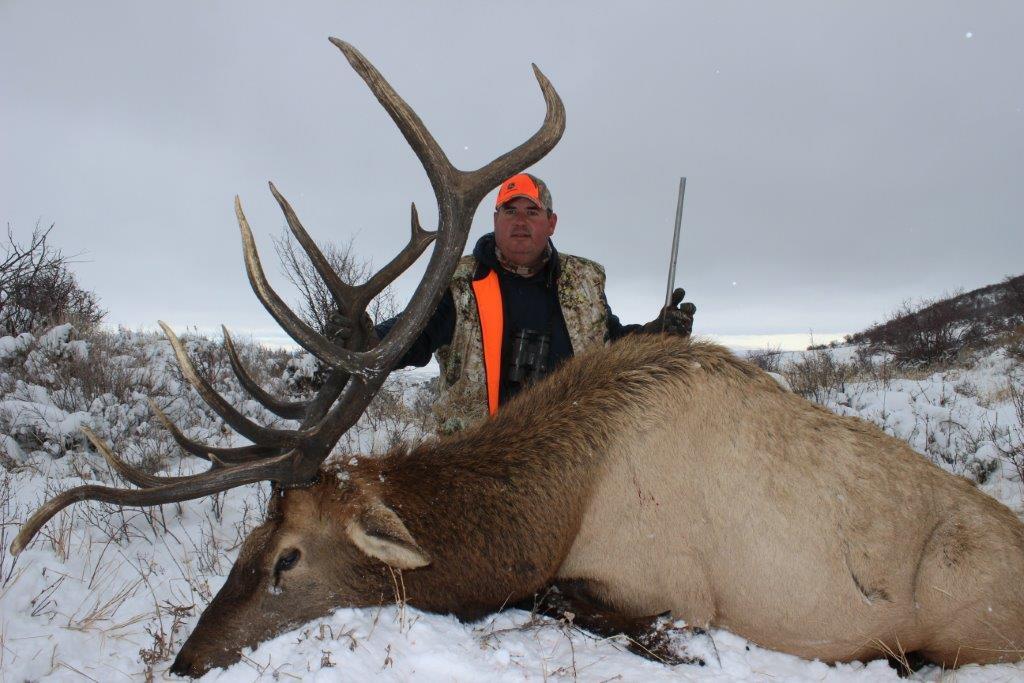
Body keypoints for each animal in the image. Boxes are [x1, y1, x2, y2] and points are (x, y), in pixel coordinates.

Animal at [11, 38, 1024, 679]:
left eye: (287, 558)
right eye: (246, 543)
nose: (187, 661)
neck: (554, 504)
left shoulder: (662, 583)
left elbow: (556, 600)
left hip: (964, 607)